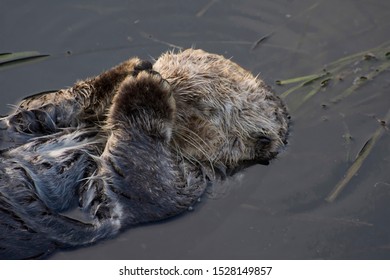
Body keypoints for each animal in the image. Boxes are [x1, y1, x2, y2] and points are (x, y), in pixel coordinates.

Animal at [0, 49, 288, 260]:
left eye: (195, 98)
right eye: (164, 64)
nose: (156, 72)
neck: (101, 135)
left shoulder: (193, 179)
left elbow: (145, 186)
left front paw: (146, 89)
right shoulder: (34, 122)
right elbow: (37, 109)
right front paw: (131, 68)